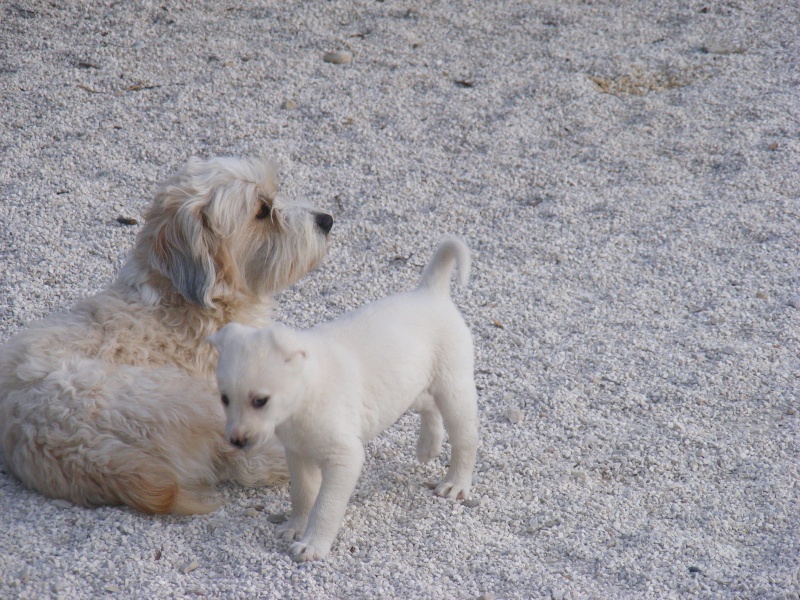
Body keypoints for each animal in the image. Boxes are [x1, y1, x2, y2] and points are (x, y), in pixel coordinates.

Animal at [0, 156, 332, 516]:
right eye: (262, 210)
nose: (326, 220)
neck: (186, 300)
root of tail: (80, 451)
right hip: (193, 400)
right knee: (246, 462)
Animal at [209, 237, 478, 560]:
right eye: (224, 399)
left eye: (260, 400)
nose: (237, 442)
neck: (307, 392)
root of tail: (430, 292)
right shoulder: (297, 453)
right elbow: (303, 494)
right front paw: (295, 526)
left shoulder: (344, 458)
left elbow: (325, 506)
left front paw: (312, 544)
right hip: (407, 385)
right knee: (428, 405)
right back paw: (428, 446)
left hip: (453, 387)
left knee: (465, 438)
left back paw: (456, 483)